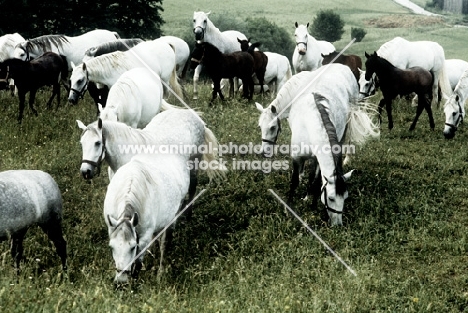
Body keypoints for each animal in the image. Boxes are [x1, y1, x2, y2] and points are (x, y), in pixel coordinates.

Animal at [104, 152, 188, 282]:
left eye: (132, 247)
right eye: (111, 247)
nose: (121, 282)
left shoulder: (144, 238)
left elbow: (138, 263)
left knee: (164, 244)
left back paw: (160, 271)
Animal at [254, 63, 378, 224]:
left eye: (273, 127)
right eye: (331, 198)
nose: (337, 224)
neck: (309, 124)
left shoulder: (319, 158)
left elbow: (317, 180)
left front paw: (312, 203)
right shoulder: (297, 157)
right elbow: (295, 181)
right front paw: (289, 207)